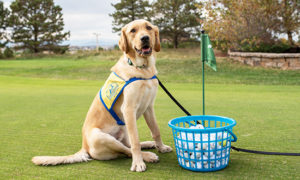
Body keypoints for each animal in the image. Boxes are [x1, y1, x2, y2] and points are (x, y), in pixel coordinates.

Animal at [31, 19, 172, 172]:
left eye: (148, 27)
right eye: (133, 30)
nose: (145, 38)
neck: (142, 69)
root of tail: (84, 147)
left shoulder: (149, 107)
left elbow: (156, 130)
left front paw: (161, 147)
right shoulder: (128, 109)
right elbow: (135, 141)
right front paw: (138, 163)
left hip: (124, 127)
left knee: (128, 144)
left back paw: (148, 144)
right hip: (100, 136)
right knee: (127, 149)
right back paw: (147, 155)